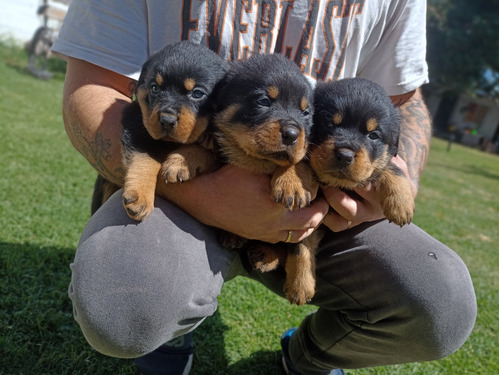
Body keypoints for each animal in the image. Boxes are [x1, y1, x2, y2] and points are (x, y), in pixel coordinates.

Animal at [121, 40, 229, 220]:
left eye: (197, 93)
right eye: (155, 88)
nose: (166, 120)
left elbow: (204, 149)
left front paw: (179, 163)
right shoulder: (135, 120)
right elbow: (145, 156)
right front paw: (139, 196)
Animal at [213, 53, 318, 306]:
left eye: (306, 113)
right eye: (263, 101)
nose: (292, 134)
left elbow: (303, 244)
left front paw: (301, 285)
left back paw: (267, 256)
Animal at [250, 77, 414, 306]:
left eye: (373, 135)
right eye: (328, 123)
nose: (345, 155)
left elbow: (390, 167)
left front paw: (401, 204)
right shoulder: (304, 219)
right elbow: (300, 247)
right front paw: (300, 286)